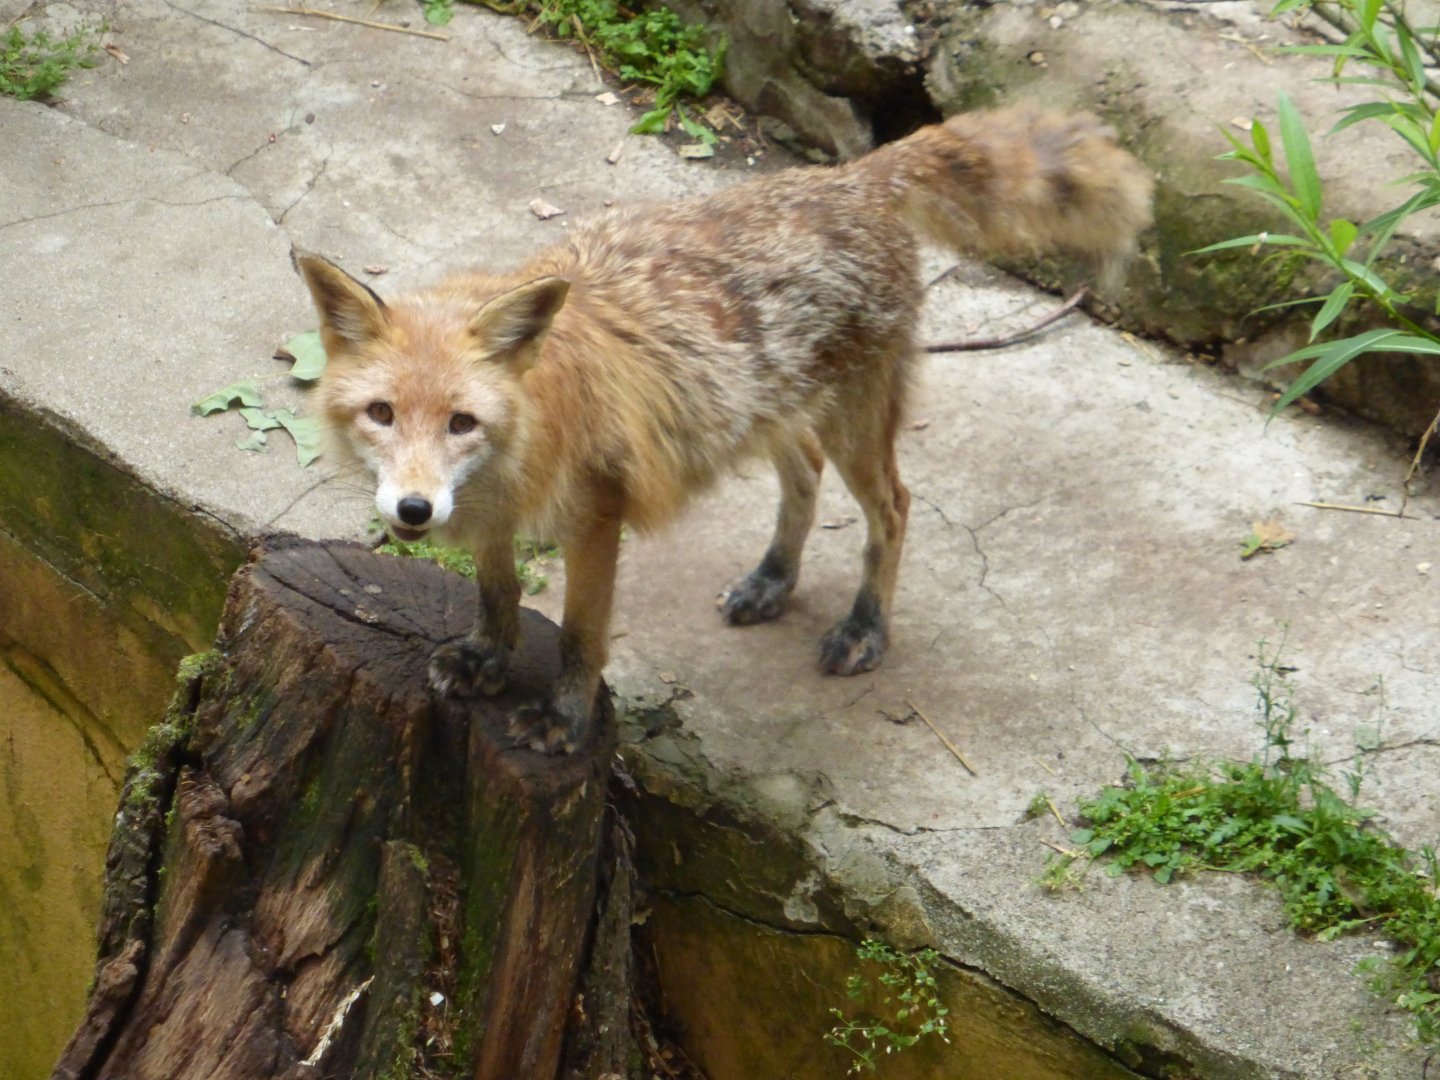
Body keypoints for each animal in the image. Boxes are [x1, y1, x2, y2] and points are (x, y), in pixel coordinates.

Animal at [296, 104, 1153, 754]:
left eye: (461, 423)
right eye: (381, 414)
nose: (412, 510)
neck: (528, 439)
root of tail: (851, 177)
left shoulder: (596, 515)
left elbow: (580, 637)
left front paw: (565, 718)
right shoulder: (496, 512)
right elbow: (498, 591)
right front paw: (487, 658)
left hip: (854, 423)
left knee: (893, 508)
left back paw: (865, 628)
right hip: (772, 412)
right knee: (804, 475)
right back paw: (774, 578)